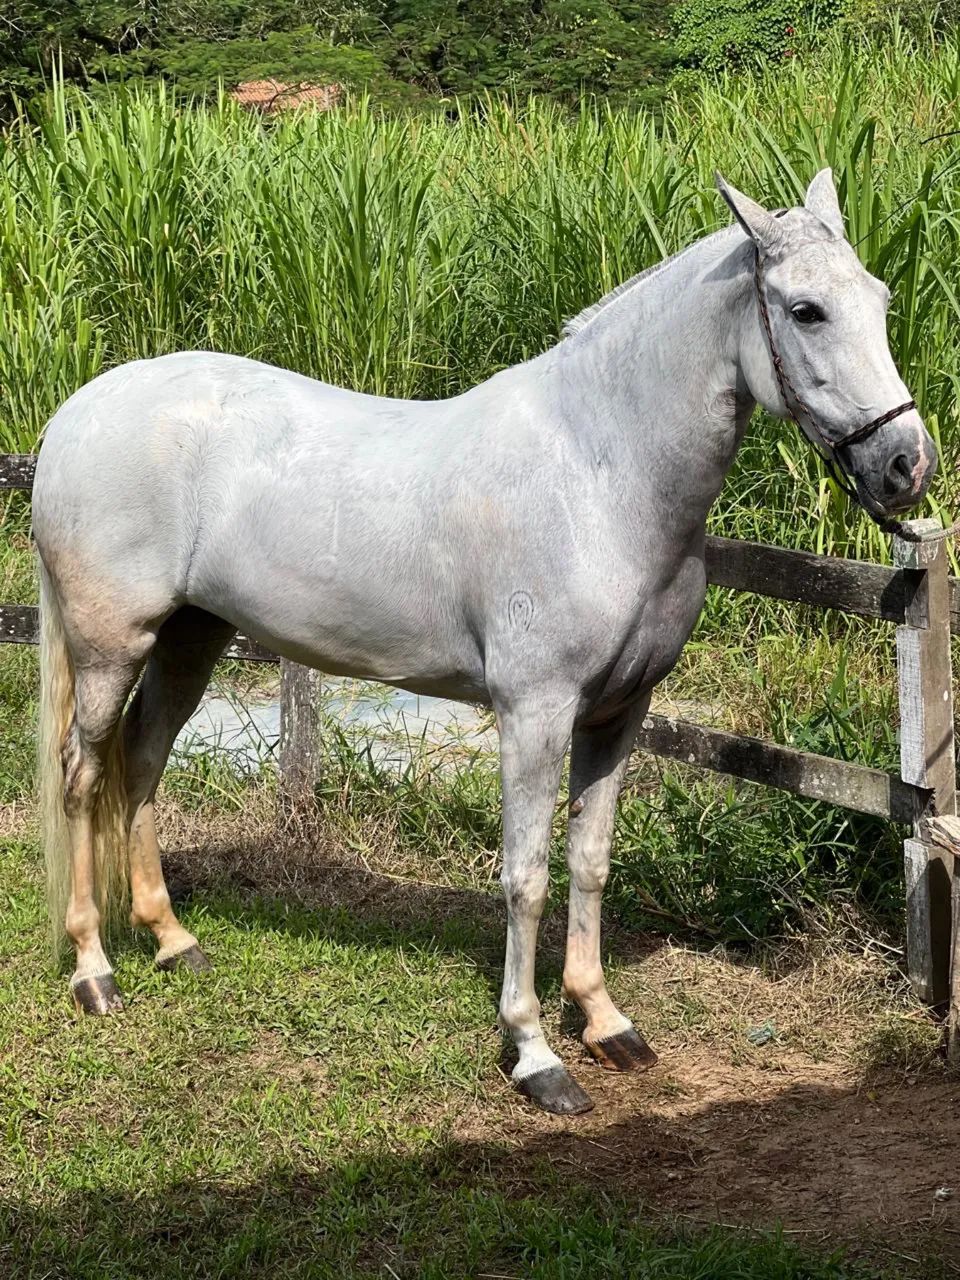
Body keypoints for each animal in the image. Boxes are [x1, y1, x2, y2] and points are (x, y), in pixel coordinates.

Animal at [32, 170, 936, 1115]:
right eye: (806, 310)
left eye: (878, 298)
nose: (908, 465)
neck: (599, 474)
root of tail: (79, 413)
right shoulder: (534, 713)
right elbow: (526, 875)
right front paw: (536, 1055)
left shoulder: (619, 713)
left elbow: (589, 861)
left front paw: (605, 1022)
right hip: (111, 645)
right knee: (84, 773)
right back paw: (95, 972)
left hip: (190, 637)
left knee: (142, 760)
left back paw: (173, 940)